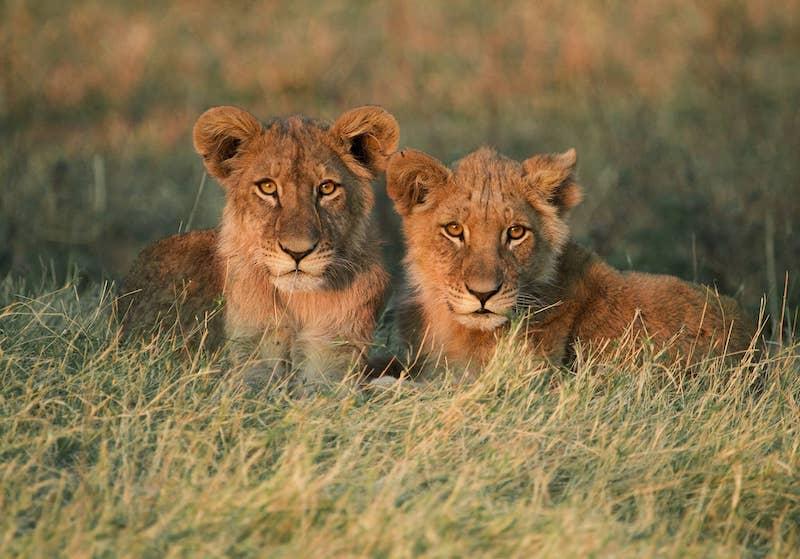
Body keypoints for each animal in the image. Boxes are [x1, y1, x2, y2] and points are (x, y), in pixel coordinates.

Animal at [120, 105, 400, 390]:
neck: (299, 304)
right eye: (267, 187)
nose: (298, 252)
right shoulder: (249, 361)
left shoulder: (333, 353)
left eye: (327, 188)